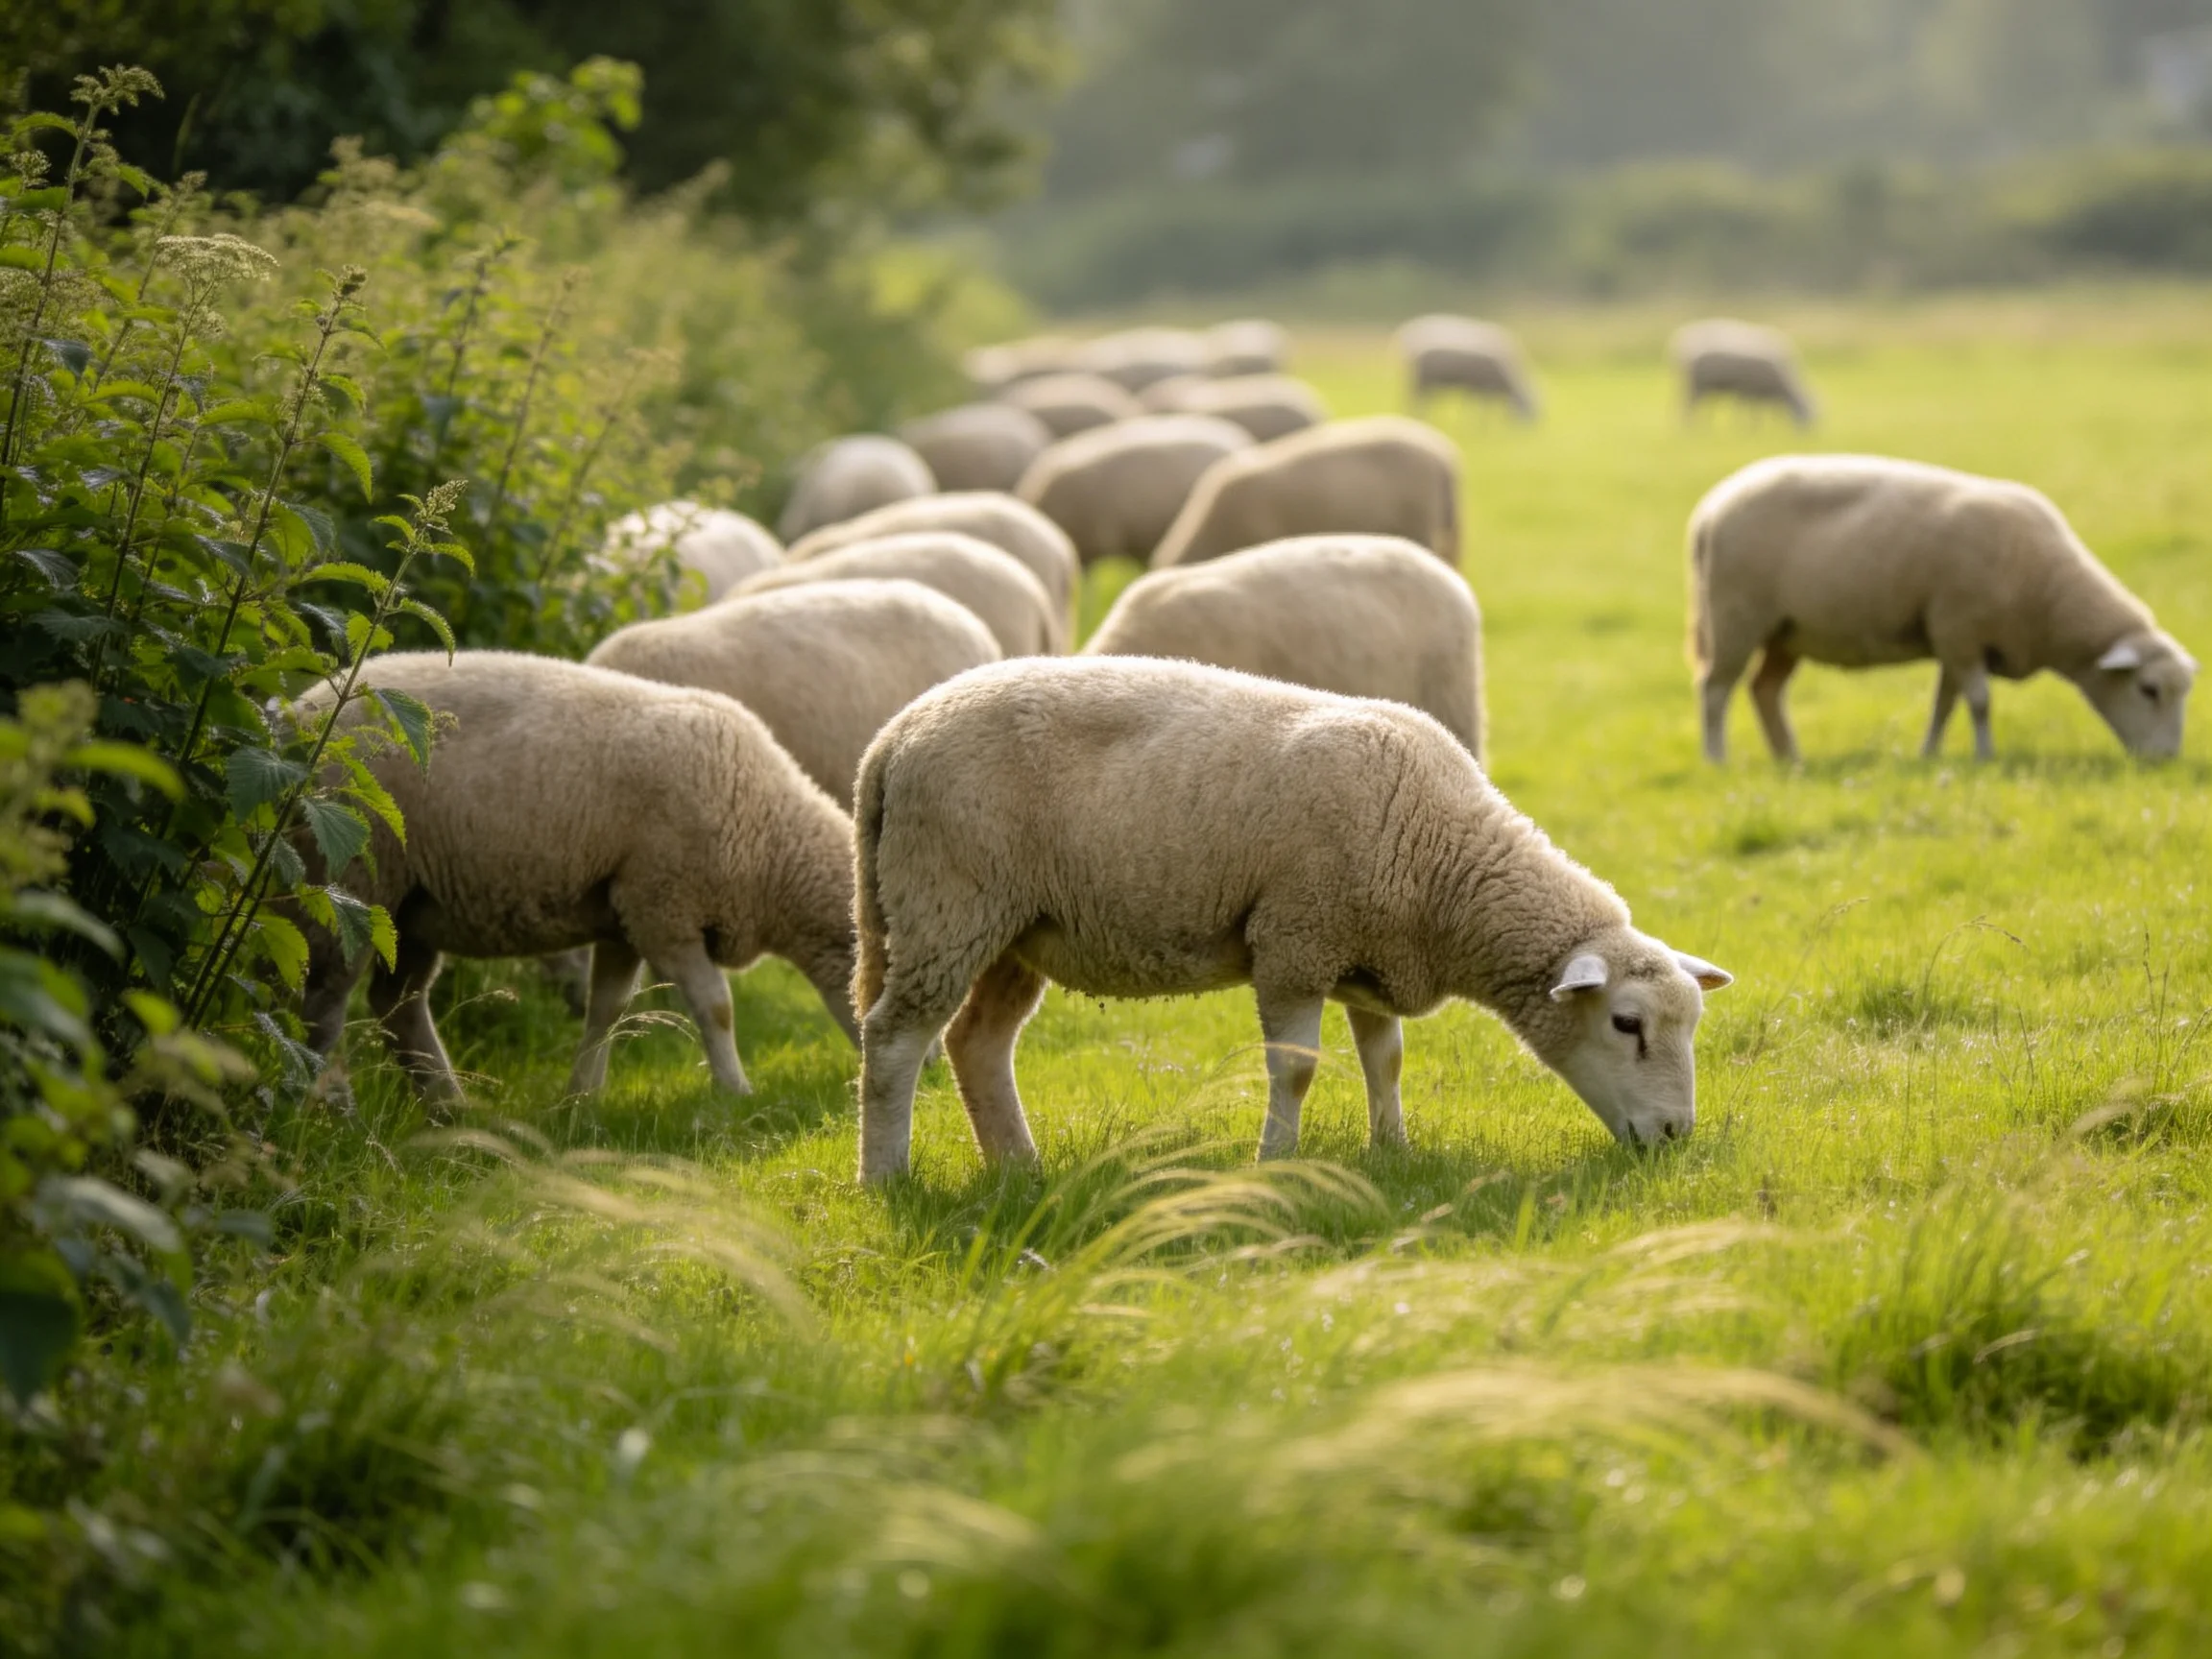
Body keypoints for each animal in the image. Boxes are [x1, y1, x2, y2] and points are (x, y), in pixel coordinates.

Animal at [294, 652, 859, 1108]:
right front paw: (736, 1092)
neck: (772, 841)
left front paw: (582, 1097)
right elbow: (716, 1007)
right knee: (323, 1005)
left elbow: (607, 1011)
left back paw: (447, 1104)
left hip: (410, 908)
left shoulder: (624, 915)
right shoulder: (663, 909)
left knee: (398, 1003)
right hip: (350, 887)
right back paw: (317, 1108)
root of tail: (294, 714)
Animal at [851, 657, 1732, 1180]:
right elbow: (1298, 1069)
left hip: (1012, 929)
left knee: (976, 1044)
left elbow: (1387, 1060)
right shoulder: (1294, 943)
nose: (1675, 1138)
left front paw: (1392, 1150)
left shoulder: (1369, 956)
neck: (1444, 861)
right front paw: (1272, 1161)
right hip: (947, 903)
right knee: (893, 1041)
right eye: (1626, 1024)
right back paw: (888, 1177)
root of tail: (892, 739)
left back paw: (1018, 1170)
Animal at [1396, 315, 1540, 422]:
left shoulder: (1475, 386)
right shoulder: (1485, 386)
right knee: (1413, 399)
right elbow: (1483, 409)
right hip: (1423, 380)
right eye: (1527, 410)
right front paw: (1481, 424)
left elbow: (1470, 406)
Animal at [1671, 320, 1816, 427]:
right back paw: (1690, 426)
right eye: (1805, 414)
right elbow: (1750, 410)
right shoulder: (1751, 388)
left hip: (1701, 385)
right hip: (1698, 384)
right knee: (1688, 405)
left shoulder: (1758, 391)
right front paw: (1749, 427)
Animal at [1690, 454, 2198, 763]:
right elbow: (1980, 702)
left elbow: (1945, 704)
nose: (2166, 760)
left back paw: (1790, 758)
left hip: (1786, 631)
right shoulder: (1959, 629)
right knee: (1715, 689)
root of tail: (1710, 508)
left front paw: (1930, 753)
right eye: (2149, 690)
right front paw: (1986, 757)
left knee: (1764, 690)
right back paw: (1717, 759)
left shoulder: (1954, 641)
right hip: (1735, 617)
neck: (2047, 592)